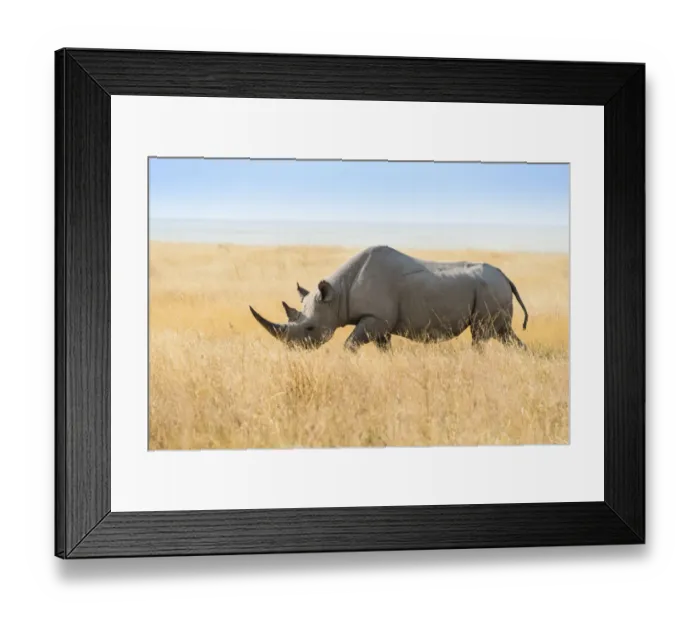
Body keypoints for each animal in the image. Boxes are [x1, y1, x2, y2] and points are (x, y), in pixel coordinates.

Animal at [249, 245, 528, 352]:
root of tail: (506, 277)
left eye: (310, 328)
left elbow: (350, 344)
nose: (293, 349)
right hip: (492, 289)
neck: (337, 294)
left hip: (489, 289)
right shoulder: (380, 324)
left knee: (481, 335)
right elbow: (384, 348)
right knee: (505, 333)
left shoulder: (376, 318)